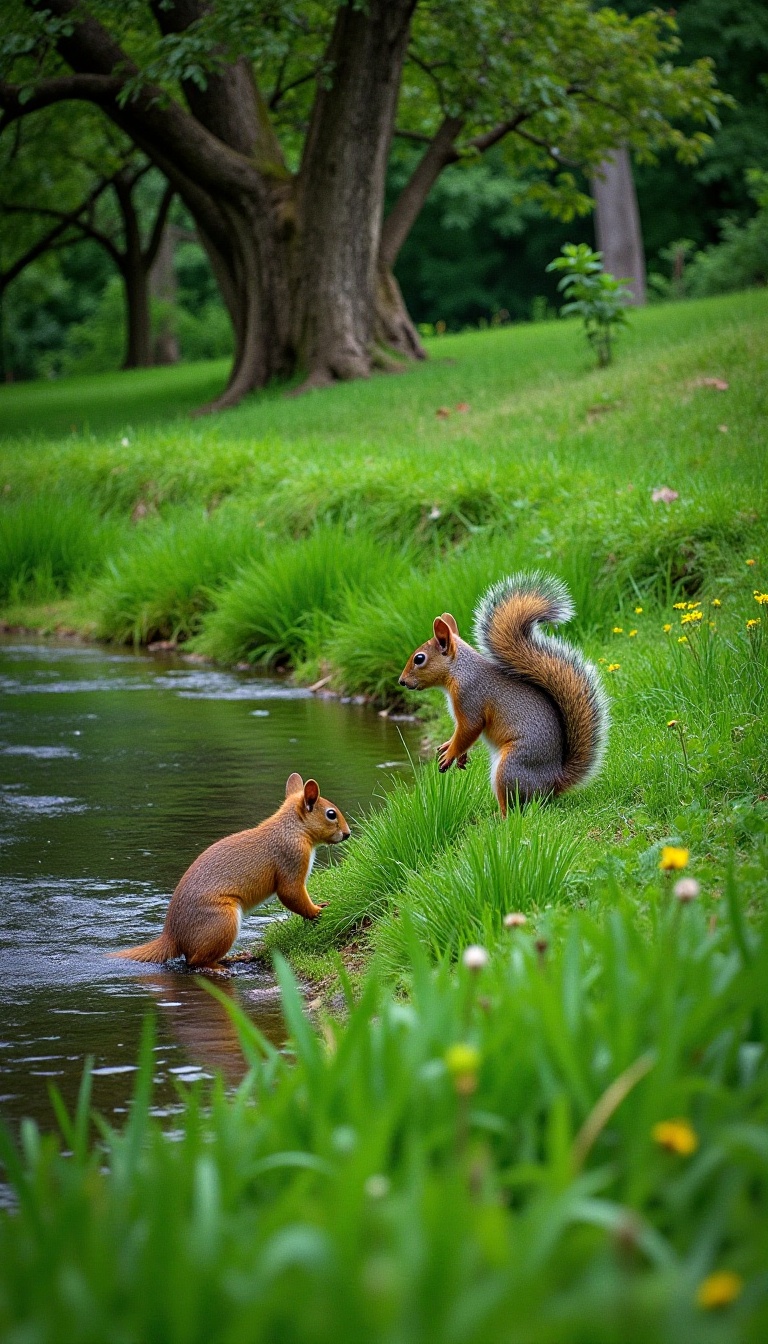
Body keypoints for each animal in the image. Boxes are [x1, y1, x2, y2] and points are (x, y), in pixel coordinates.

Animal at [109, 773, 350, 969]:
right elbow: (290, 894)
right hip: (222, 921)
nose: (347, 833)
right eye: (331, 814)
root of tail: (173, 936)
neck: (292, 829)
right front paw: (317, 911)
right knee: (195, 961)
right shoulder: (290, 859)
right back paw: (220, 966)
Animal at [399, 570, 608, 815]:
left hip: (511, 768)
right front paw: (453, 751)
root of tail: (552, 783)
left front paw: (450, 754)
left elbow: (469, 730)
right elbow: (461, 736)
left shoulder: (470, 698)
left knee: (516, 807)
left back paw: (499, 818)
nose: (402, 681)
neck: (459, 671)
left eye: (419, 658)